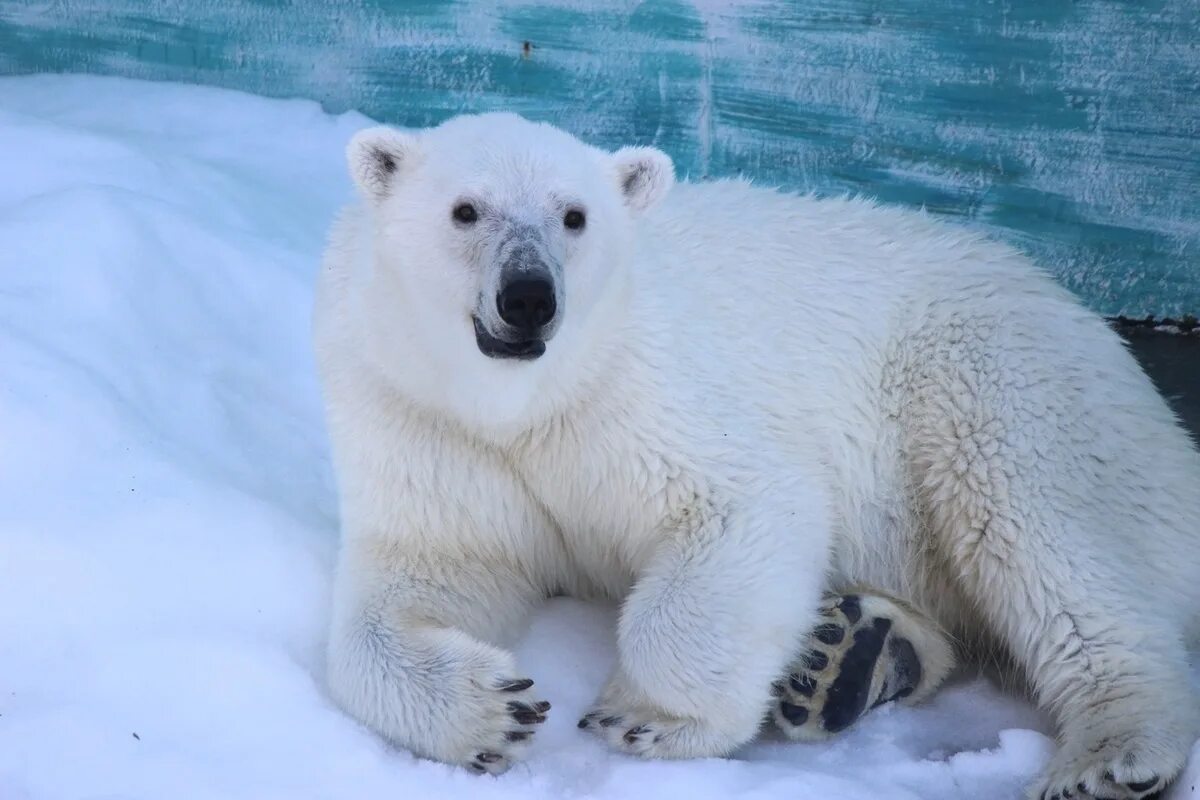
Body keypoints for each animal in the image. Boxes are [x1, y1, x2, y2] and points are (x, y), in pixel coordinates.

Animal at [316, 113, 1200, 800]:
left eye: (574, 216)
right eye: (466, 210)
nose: (529, 295)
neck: (525, 403)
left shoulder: (639, 392)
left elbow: (745, 504)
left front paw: (648, 717)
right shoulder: (421, 417)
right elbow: (427, 576)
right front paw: (495, 709)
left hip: (991, 372)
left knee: (1043, 534)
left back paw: (1108, 752)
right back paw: (853, 655)